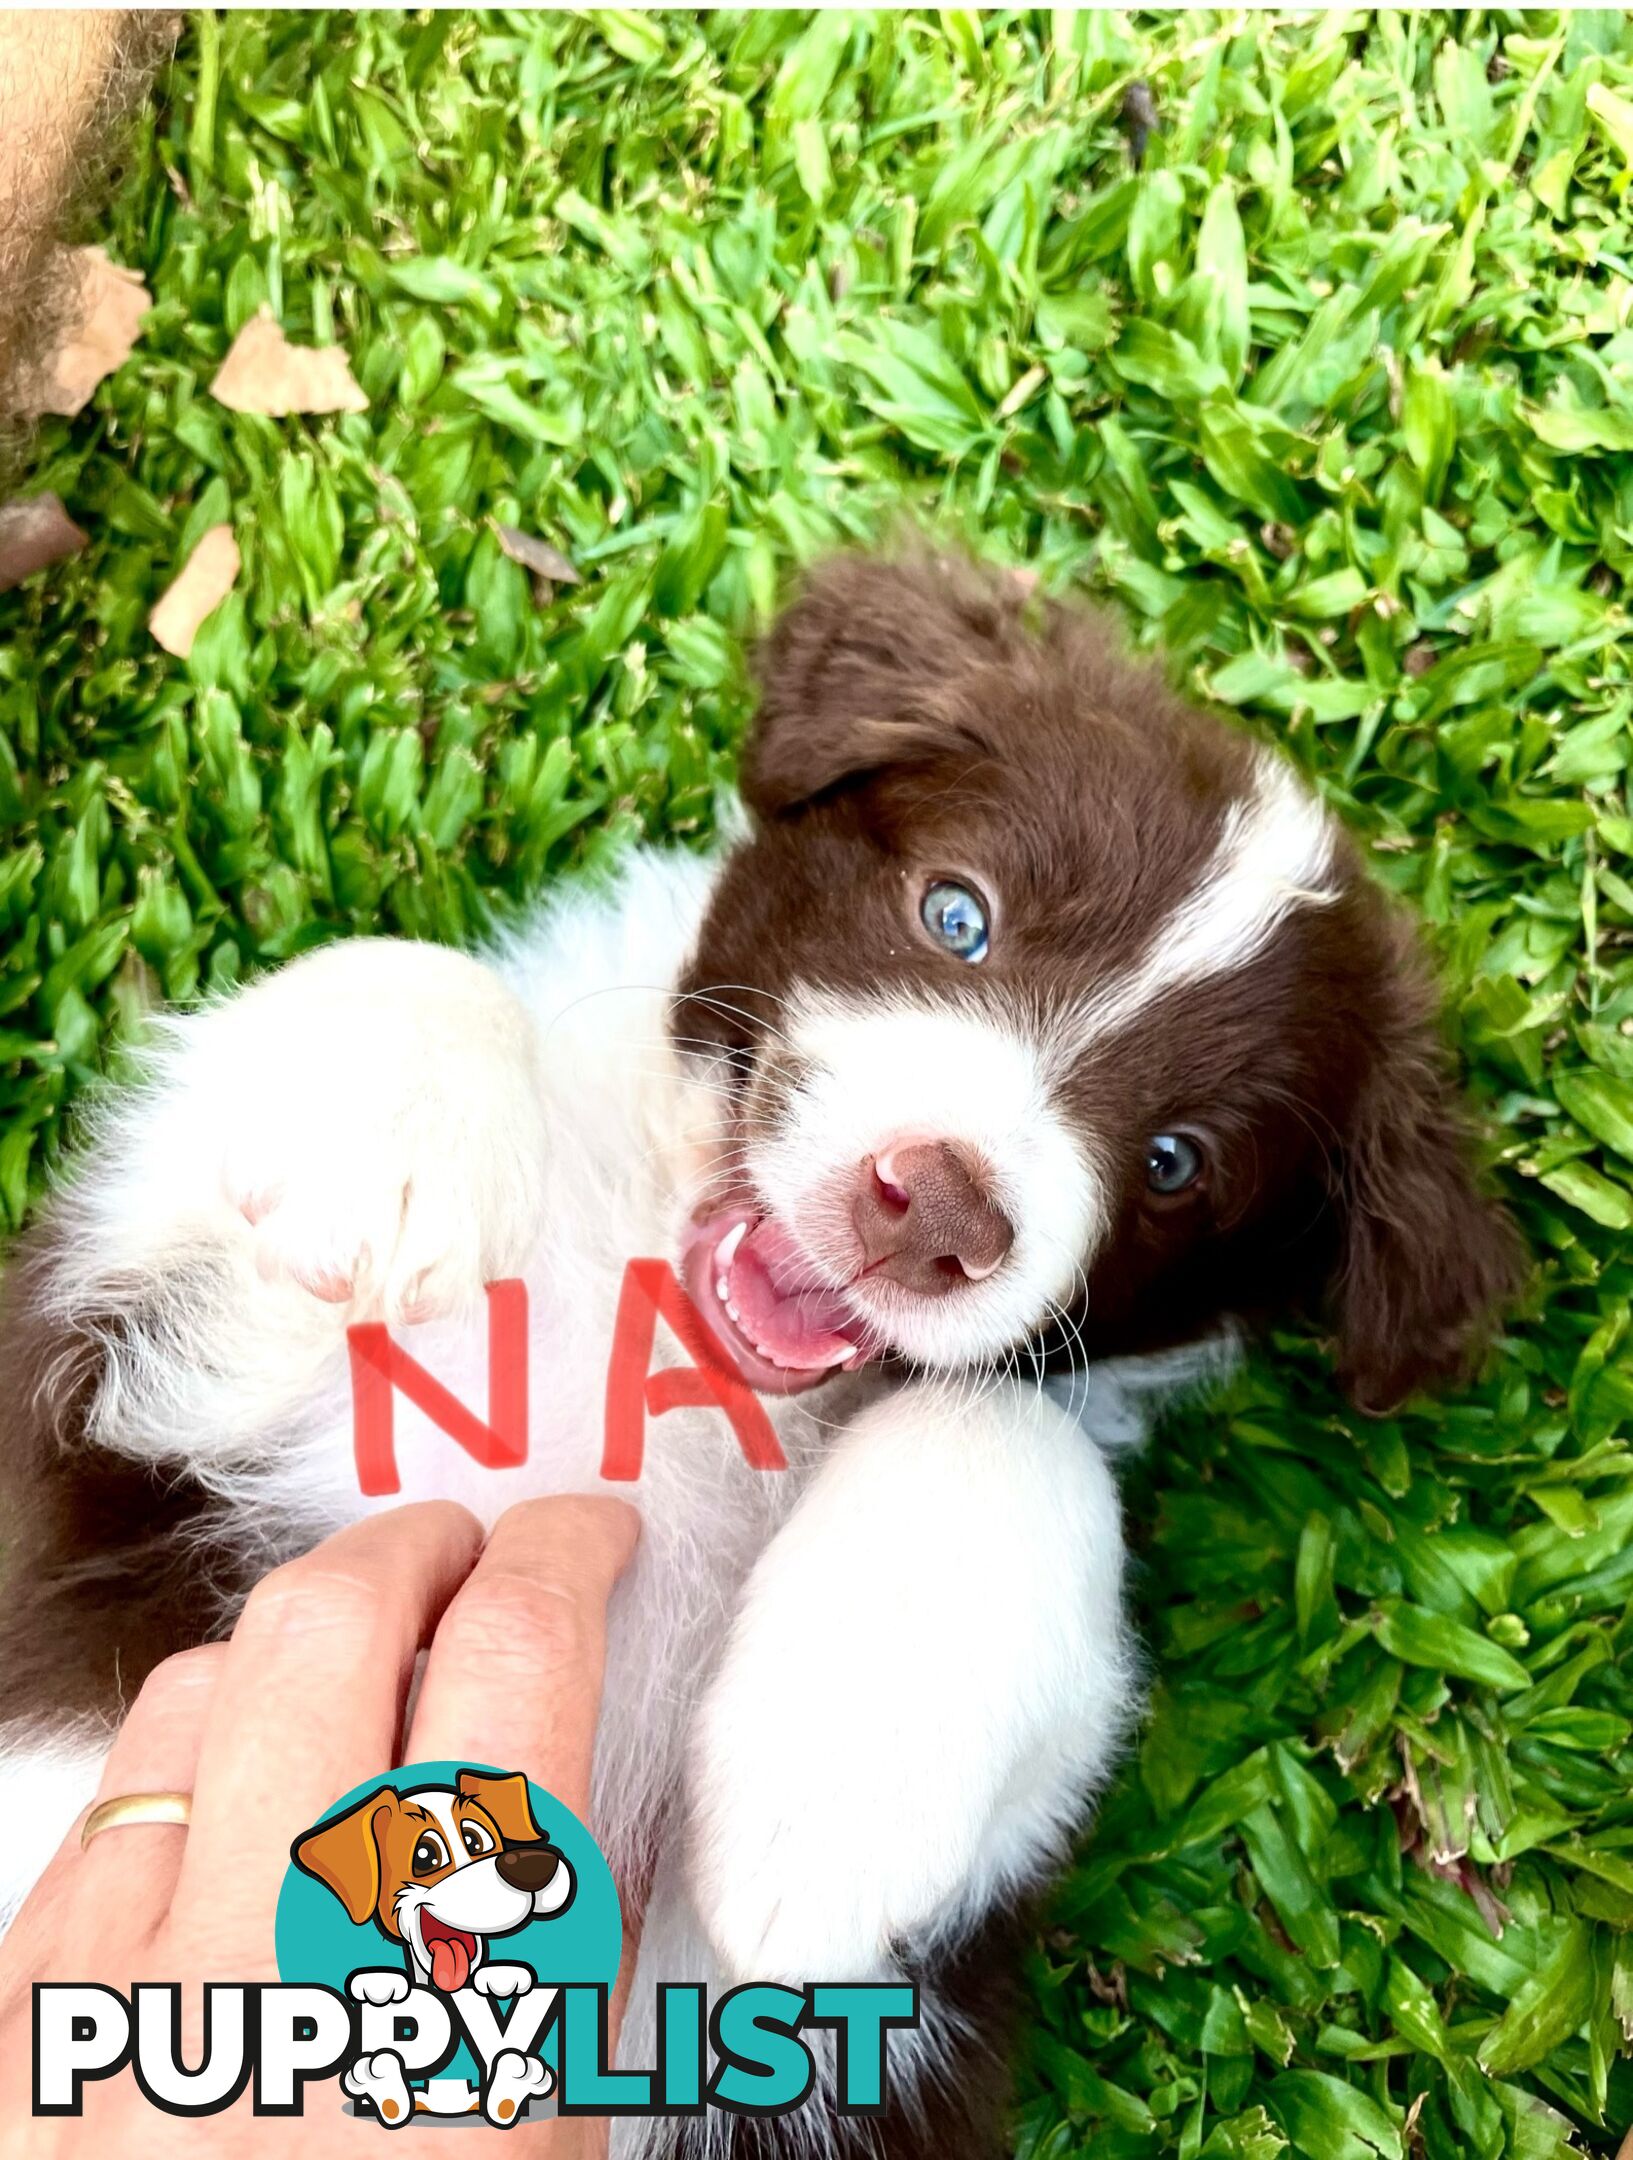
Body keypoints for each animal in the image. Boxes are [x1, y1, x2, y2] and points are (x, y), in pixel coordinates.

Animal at [0, 557, 1520, 2160]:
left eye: (1178, 1162)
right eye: (956, 914)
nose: (939, 1211)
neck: (686, 1356)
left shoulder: (898, 1977)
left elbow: (1009, 1439)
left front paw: (824, 1806)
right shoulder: (139, 1384)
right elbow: (388, 1012)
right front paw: (378, 1144)